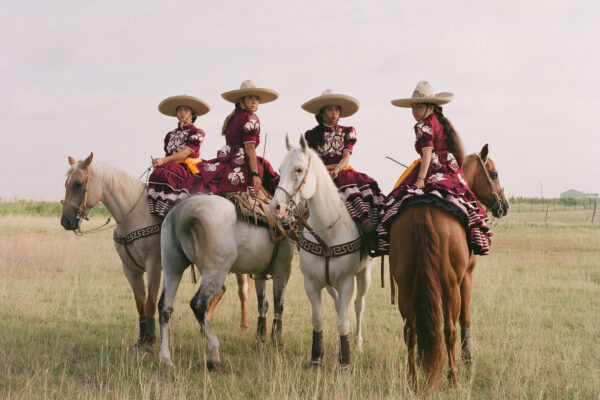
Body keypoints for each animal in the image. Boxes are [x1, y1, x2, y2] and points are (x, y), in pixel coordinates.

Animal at [62, 153, 254, 350]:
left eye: (78, 184)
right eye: (66, 184)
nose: (66, 221)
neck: (135, 215)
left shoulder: (153, 267)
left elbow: (150, 303)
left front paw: (149, 342)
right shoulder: (130, 269)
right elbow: (140, 304)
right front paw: (141, 341)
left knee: (241, 292)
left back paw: (240, 328)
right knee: (222, 290)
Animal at [157, 191, 292, 368]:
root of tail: (186, 211)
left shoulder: (259, 273)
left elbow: (263, 304)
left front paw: (260, 339)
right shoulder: (282, 272)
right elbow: (279, 307)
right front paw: (278, 344)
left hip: (172, 268)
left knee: (165, 307)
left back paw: (166, 358)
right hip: (215, 272)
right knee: (199, 304)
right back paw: (213, 355)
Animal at [270, 136, 372, 370]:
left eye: (299, 169)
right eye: (280, 169)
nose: (276, 208)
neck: (328, 232)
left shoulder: (346, 282)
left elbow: (344, 320)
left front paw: (345, 362)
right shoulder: (312, 283)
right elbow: (318, 319)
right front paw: (316, 357)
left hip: (364, 275)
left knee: (358, 306)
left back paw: (358, 345)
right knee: (337, 306)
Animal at [390, 145, 506, 390]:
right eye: (493, 174)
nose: (504, 206)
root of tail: (424, 211)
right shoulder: (467, 277)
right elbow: (465, 319)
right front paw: (468, 358)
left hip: (406, 286)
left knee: (410, 331)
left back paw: (413, 381)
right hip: (450, 285)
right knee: (449, 329)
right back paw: (454, 378)